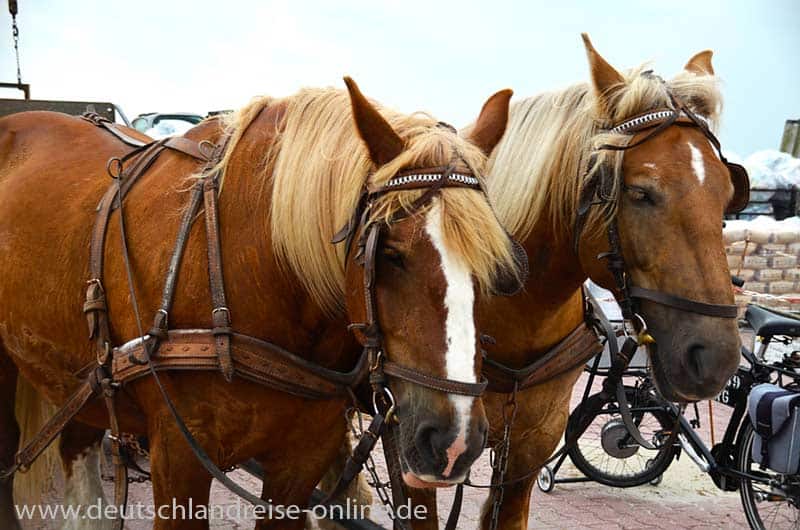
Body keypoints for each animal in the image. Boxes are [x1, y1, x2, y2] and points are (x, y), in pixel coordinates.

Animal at [0, 79, 520, 528]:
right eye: (389, 253)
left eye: (497, 264)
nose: (454, 442)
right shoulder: (178, 459)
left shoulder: (299, 462)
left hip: (80, 377)